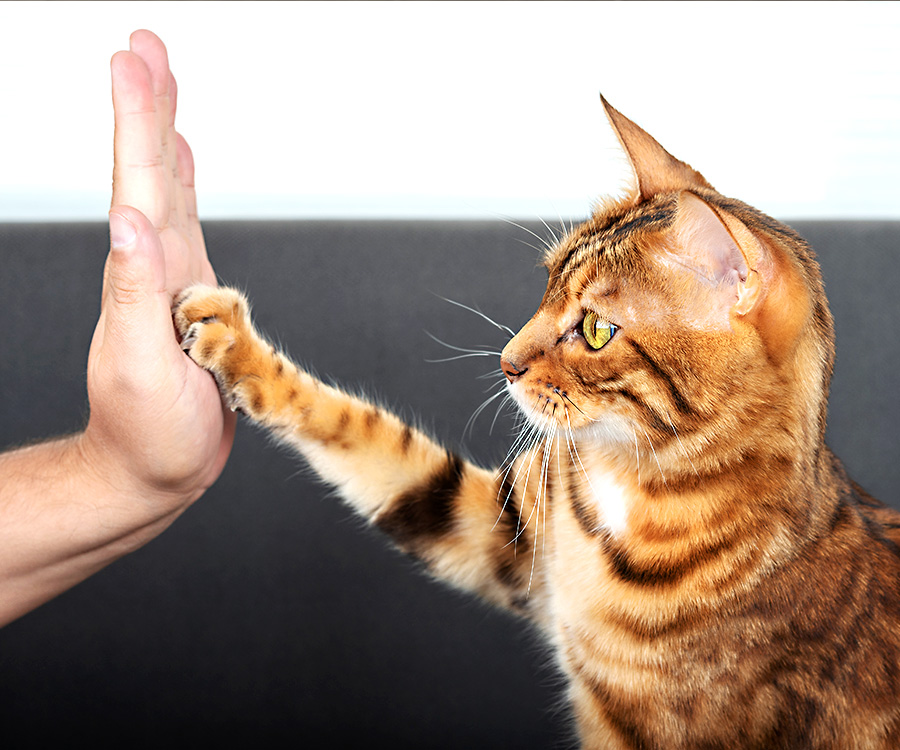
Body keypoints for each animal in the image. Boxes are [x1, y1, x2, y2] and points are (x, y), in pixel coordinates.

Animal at [172, 97, 900, 748]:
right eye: (547, 282)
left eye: (597, 329)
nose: (506, 362)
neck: (633, 481)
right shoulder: (502, 530)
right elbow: (373, 440)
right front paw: (233, 342)